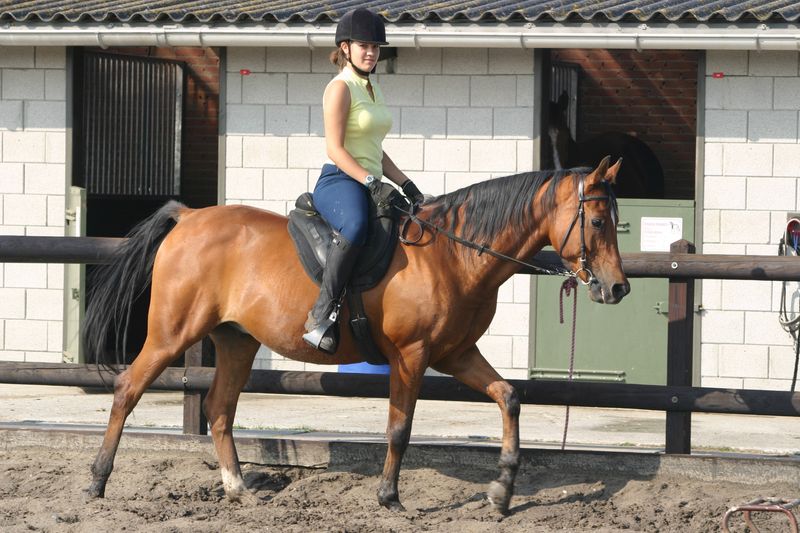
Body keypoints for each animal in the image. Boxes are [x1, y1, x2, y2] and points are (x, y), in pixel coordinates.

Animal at [81, 156, 630, 516]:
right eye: (598, 220)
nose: (618, 288)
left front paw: (503, 491)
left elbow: (509, 397)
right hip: (172, 333)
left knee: (219, 409)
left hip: (236, 340)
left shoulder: (456, 354)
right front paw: (389, 497)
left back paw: (238, 490)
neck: (452, 254)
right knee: (128, 389)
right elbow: (399, 428)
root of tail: (191, 217)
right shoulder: (411, 356)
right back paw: (98, 482)